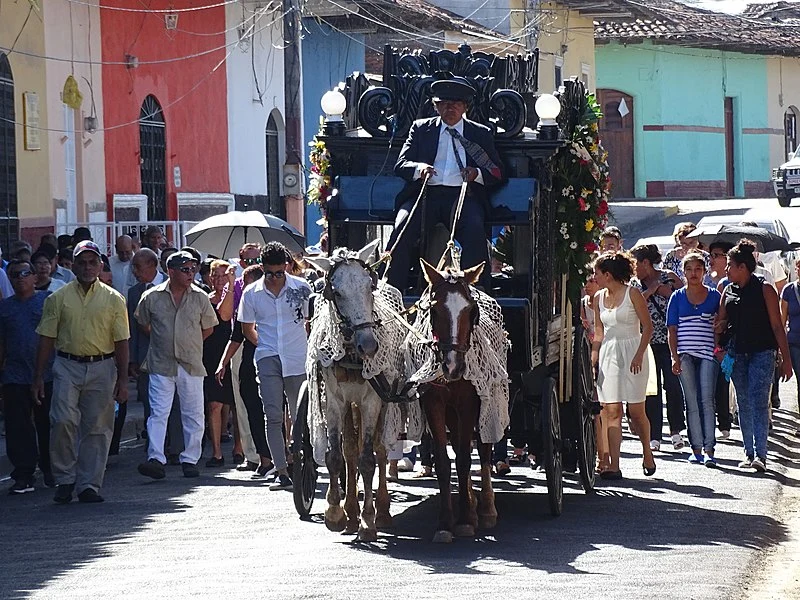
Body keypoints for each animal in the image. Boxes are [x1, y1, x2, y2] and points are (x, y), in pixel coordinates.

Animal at [304, 241, 410, 540]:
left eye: (367, 287)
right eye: (336, 292)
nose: (369, 345)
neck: (351, 353)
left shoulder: (372, 401)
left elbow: (368, 459)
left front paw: (368, 520)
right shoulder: (335, 401)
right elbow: (336, 456)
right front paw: (335, 514)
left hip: (383, 401)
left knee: (380, 451)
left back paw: (381, 511)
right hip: (351, 406)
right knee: (350, 450)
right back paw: (350, 511)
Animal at [416, 260, 496, 540]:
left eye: (472, 311)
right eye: (433, 310)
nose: (453, 366)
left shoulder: (469, 405)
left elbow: (463, 459)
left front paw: (464, 520)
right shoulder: (433, 403)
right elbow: (444, 460)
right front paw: (445, 521)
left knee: (483, 449)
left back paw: (486, 508)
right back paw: (471, 502)